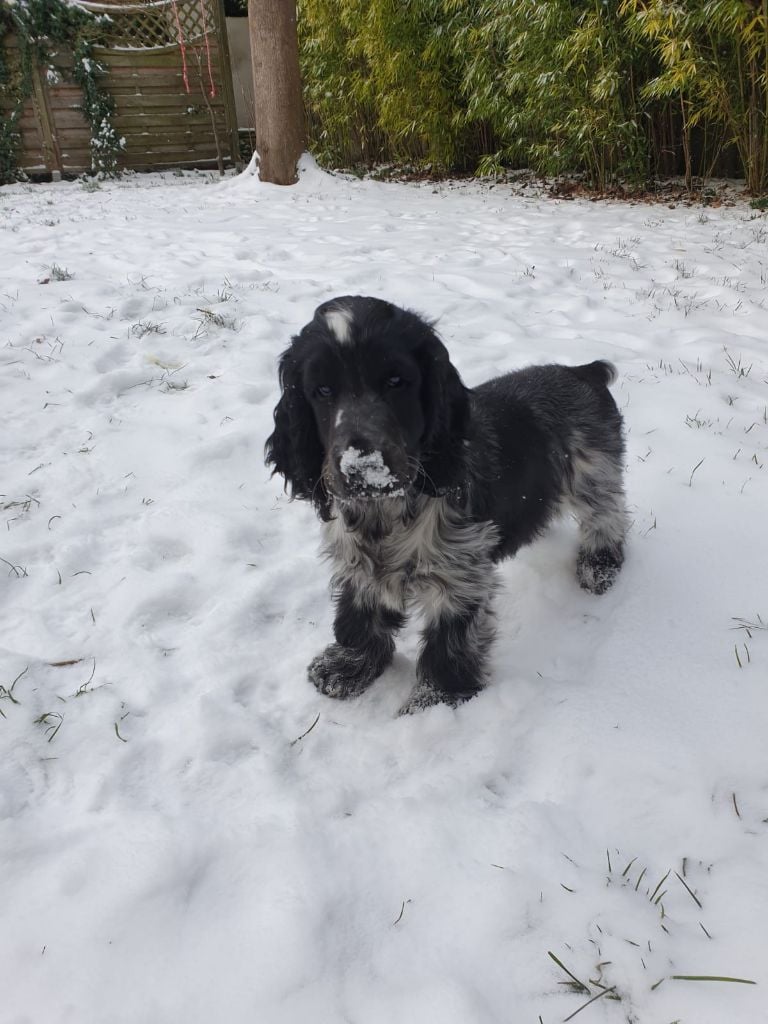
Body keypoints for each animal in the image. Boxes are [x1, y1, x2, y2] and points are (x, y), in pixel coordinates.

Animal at [268, 296, 626, 712]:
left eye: (396, 381)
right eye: (322, 390)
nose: (362, 465)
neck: (388, 511)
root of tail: (583, 371)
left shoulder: (459, 578)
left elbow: (449, 646)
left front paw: (433, 703)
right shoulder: (358, 563)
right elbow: (357, 617)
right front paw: (345, 668)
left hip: (593, 475)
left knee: (607, 519)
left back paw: (599, 567)